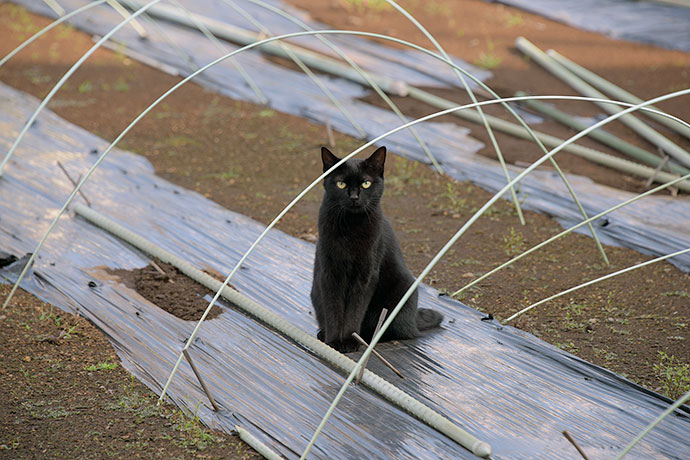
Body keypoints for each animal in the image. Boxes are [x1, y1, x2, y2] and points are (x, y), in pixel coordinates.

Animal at [310, 146, 444, 352]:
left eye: (366, 183)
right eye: (341, 184)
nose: (354, 197)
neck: (351, 227)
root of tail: (414, 321)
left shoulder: (365, 276)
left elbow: (354, 311)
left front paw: (348, 340)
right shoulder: (329, 273)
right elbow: (333, 309)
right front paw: (333, 341)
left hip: (402, 290)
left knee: (399, 332)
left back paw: (368, 339)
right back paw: (323, 333)